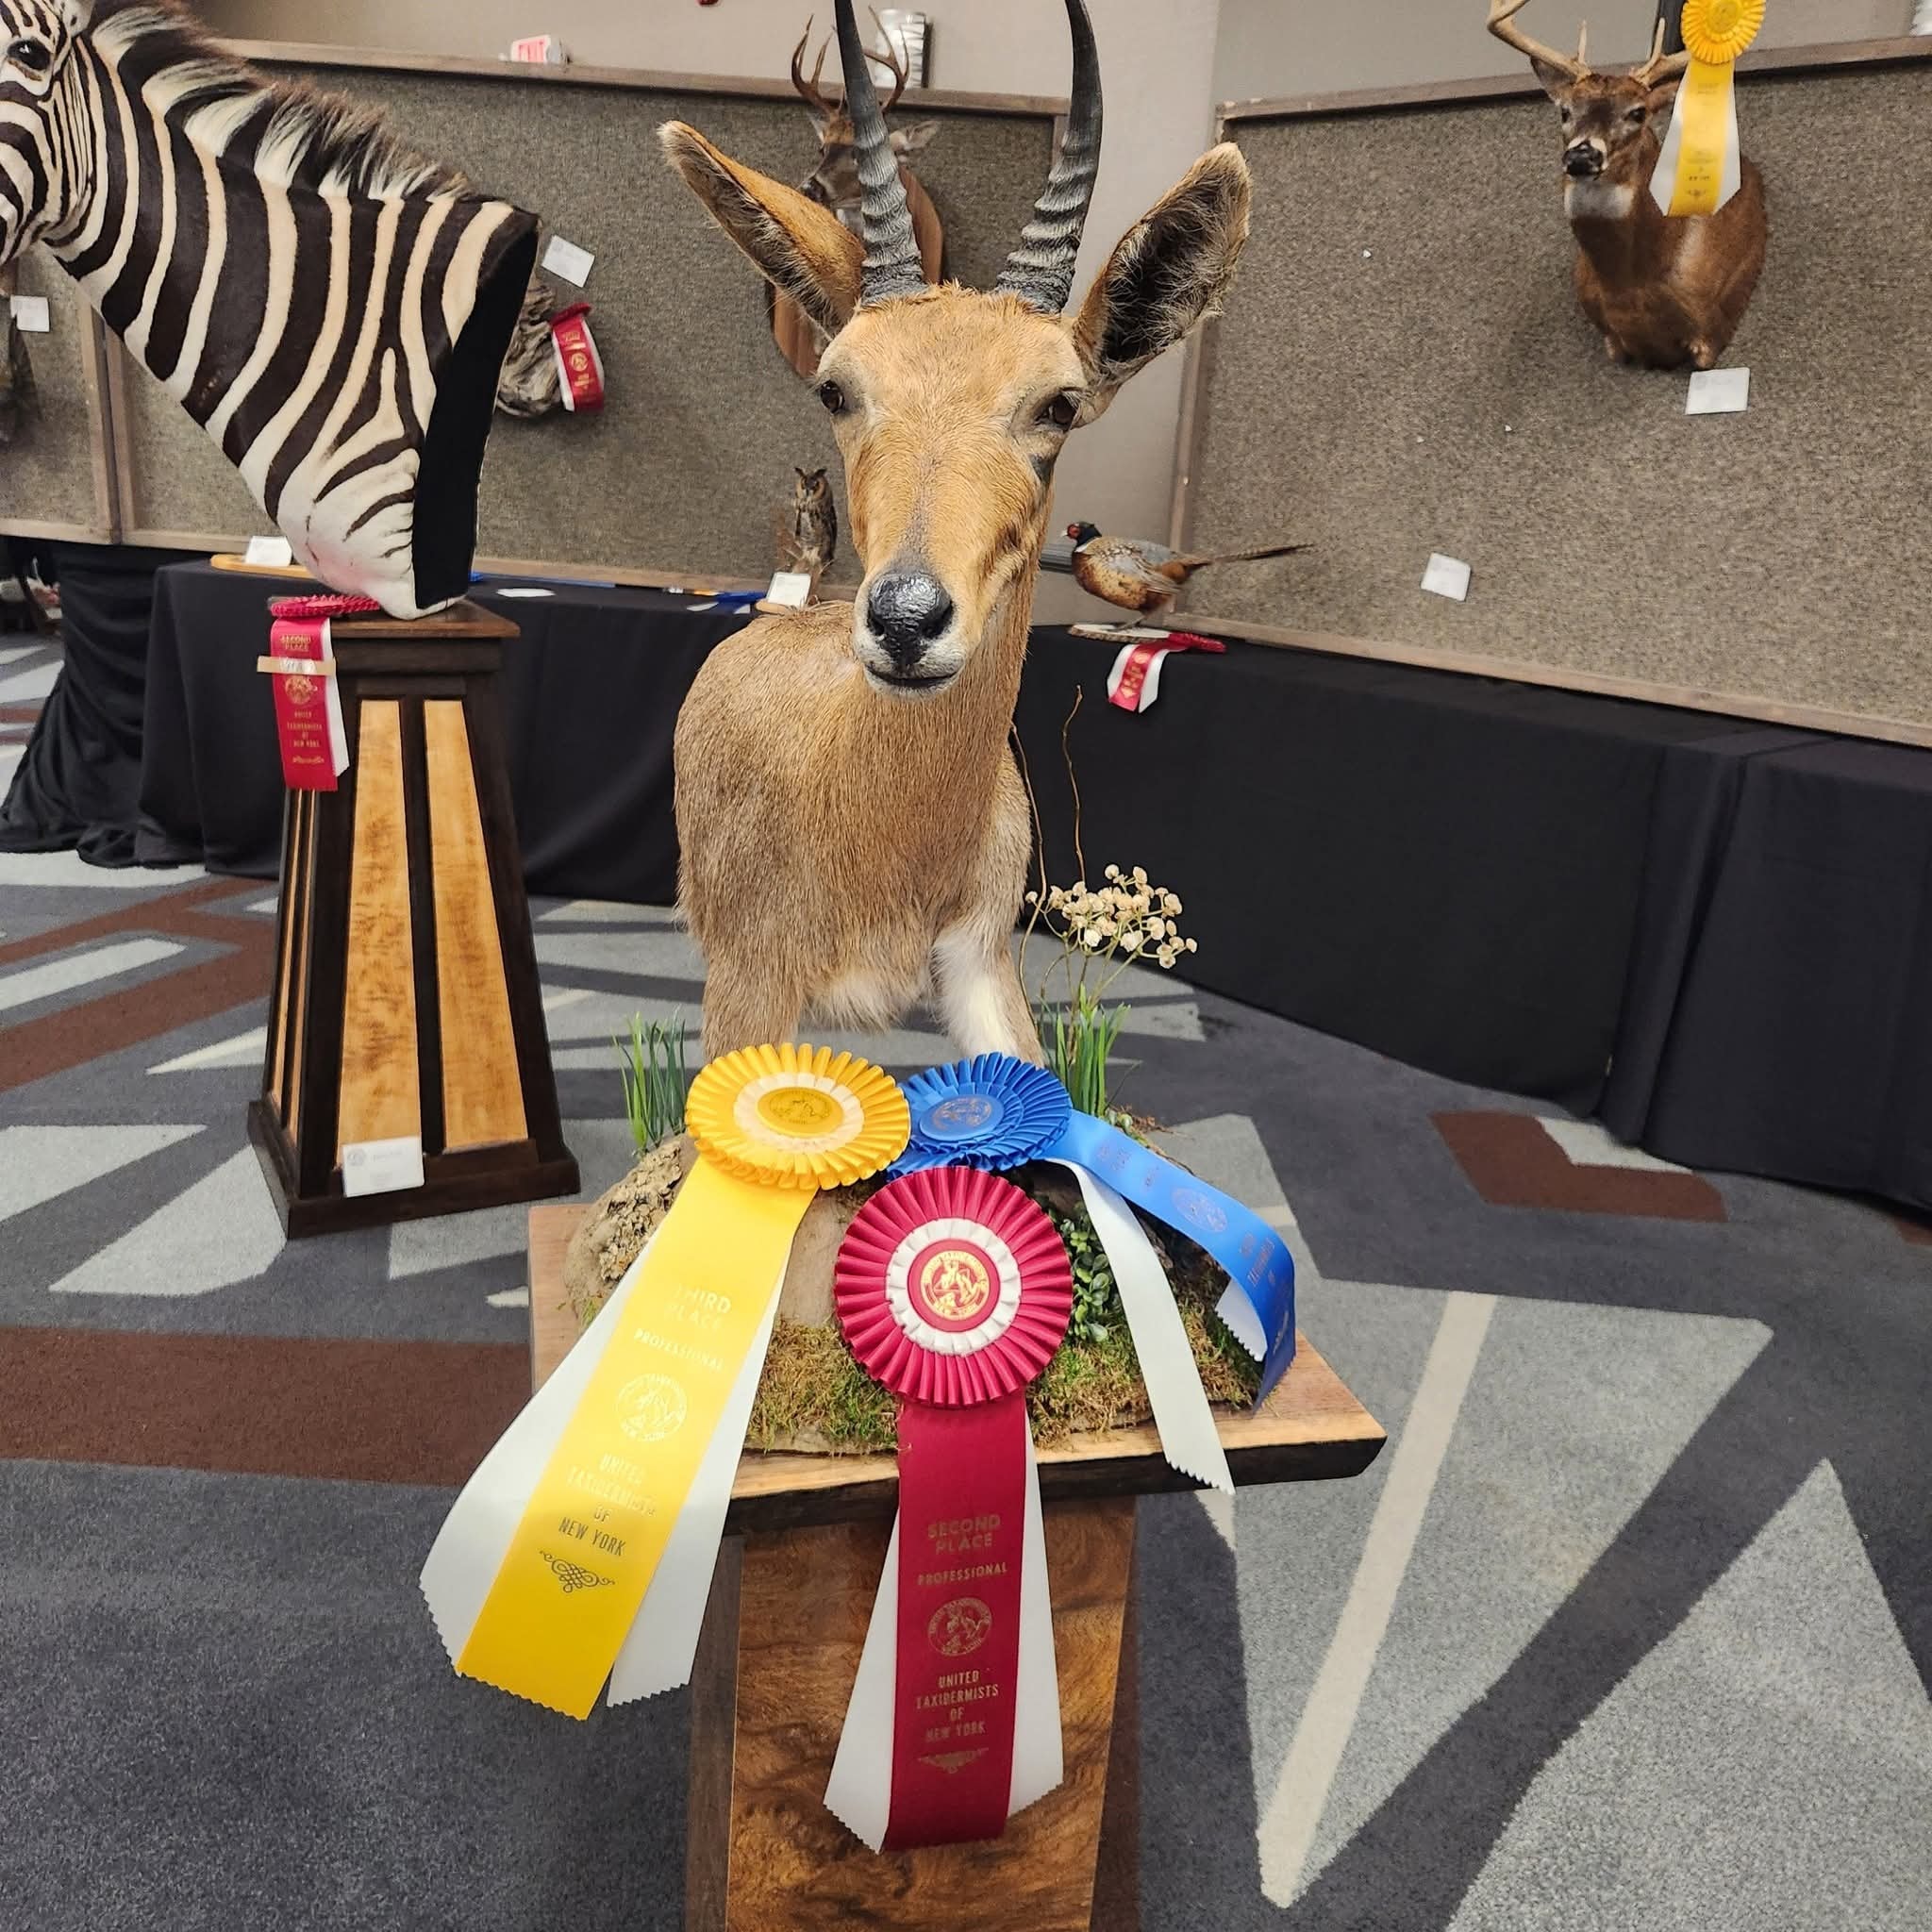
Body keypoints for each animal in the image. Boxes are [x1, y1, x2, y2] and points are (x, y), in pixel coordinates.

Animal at [1487, 0, 1767, 370]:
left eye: (1638, 112)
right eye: (1565, 111)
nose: (1582, 155)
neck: (1632, 286)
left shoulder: (1712, 327)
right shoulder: (1610, 337)